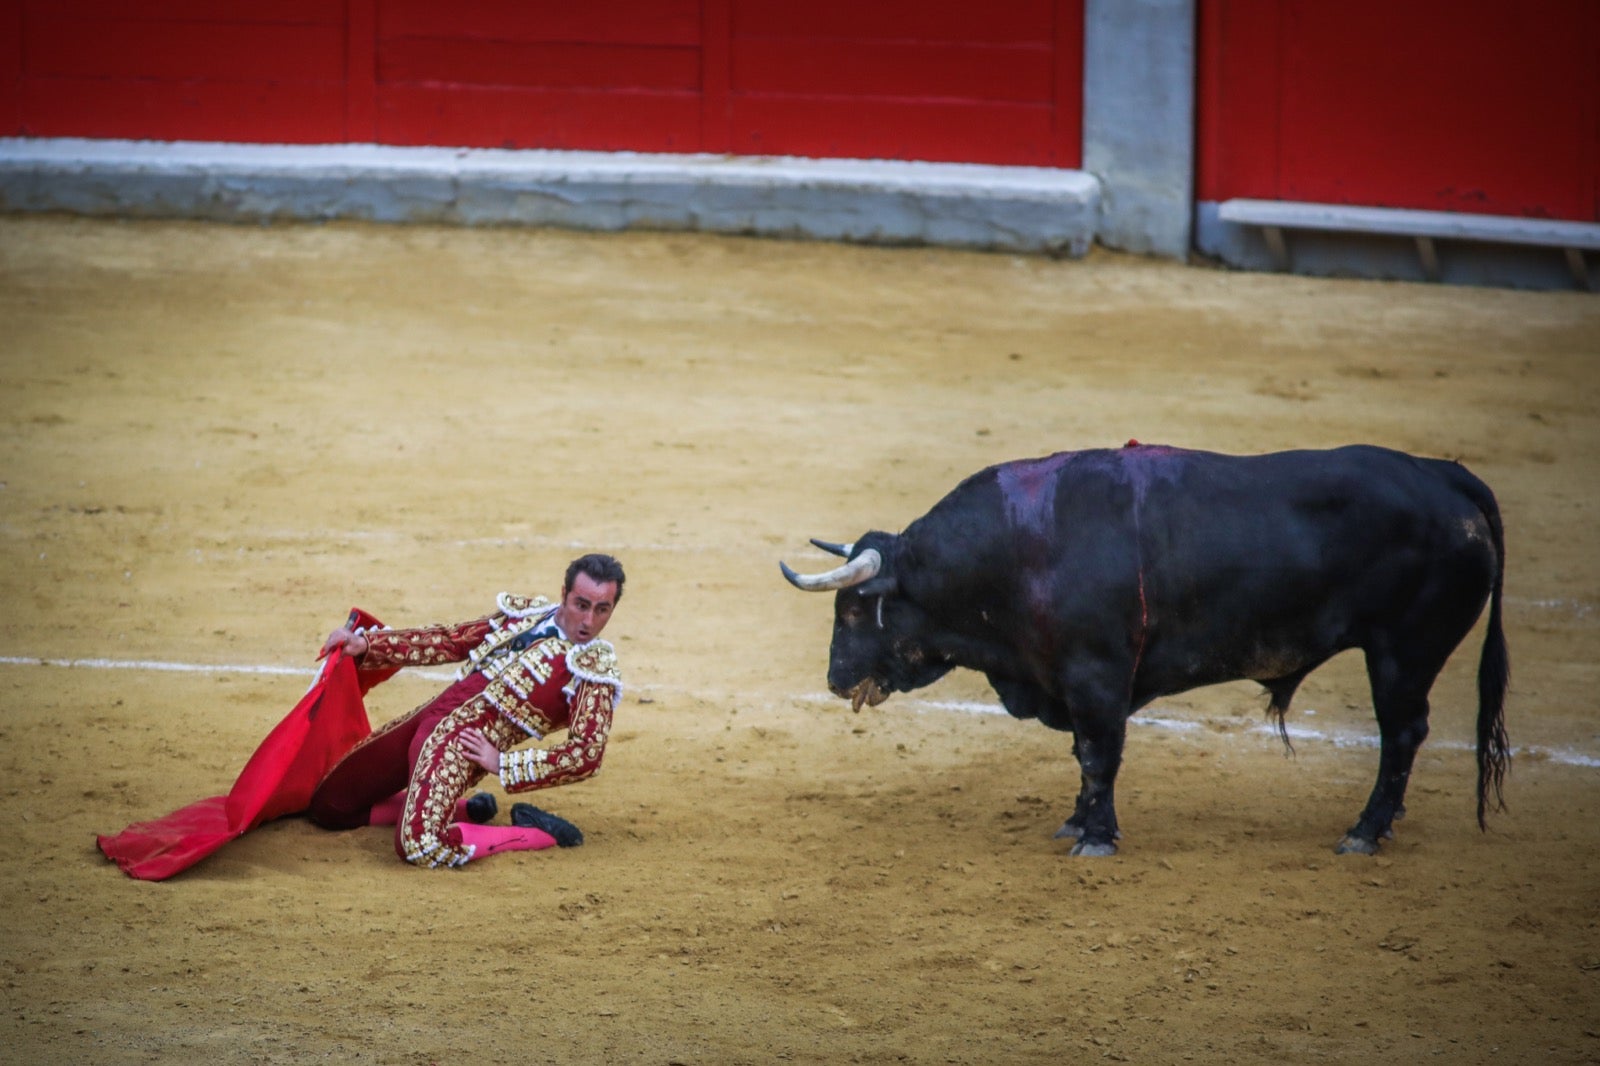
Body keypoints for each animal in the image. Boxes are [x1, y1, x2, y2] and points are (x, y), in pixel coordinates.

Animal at [787, 441, 1510, 857]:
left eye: (854, 607)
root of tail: (1445, 478)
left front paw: (1095, 838)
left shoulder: (1097, 677)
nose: (833, 679)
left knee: (1403, 733)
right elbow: (1084, 758)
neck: (1023, 548)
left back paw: (1363, 832)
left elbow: (1099, 754)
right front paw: (1076, 822)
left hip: (1404, 651)